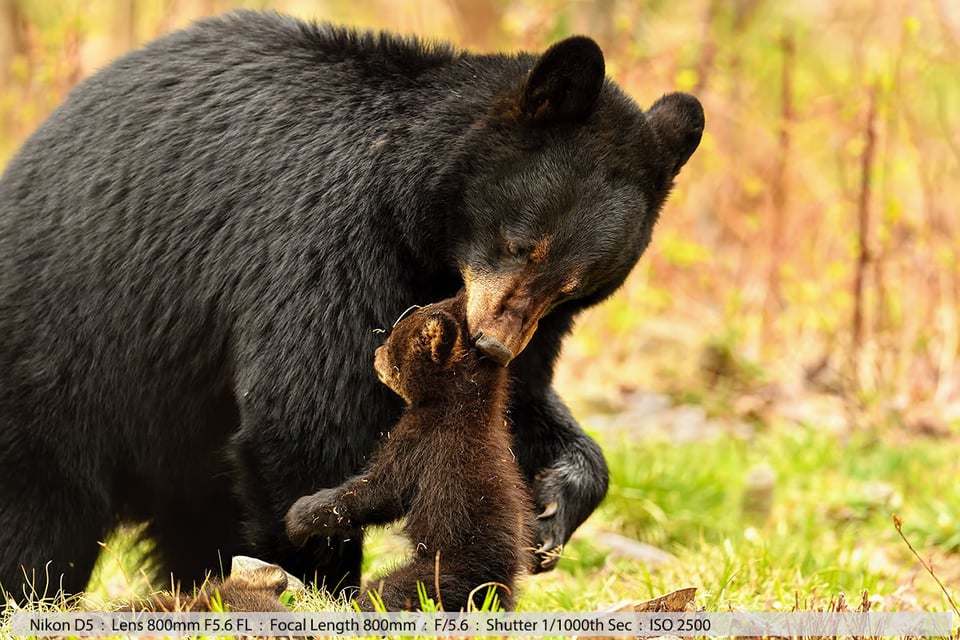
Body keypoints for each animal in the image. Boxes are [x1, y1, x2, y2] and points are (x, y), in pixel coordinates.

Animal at [284, 292, 532, 612]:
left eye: (393, 341)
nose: (375, 353)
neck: (460, 406)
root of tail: (494, 581)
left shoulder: (418, 441)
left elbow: (378, 491)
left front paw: (299, 516)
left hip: (439, 573)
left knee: (384, 593)